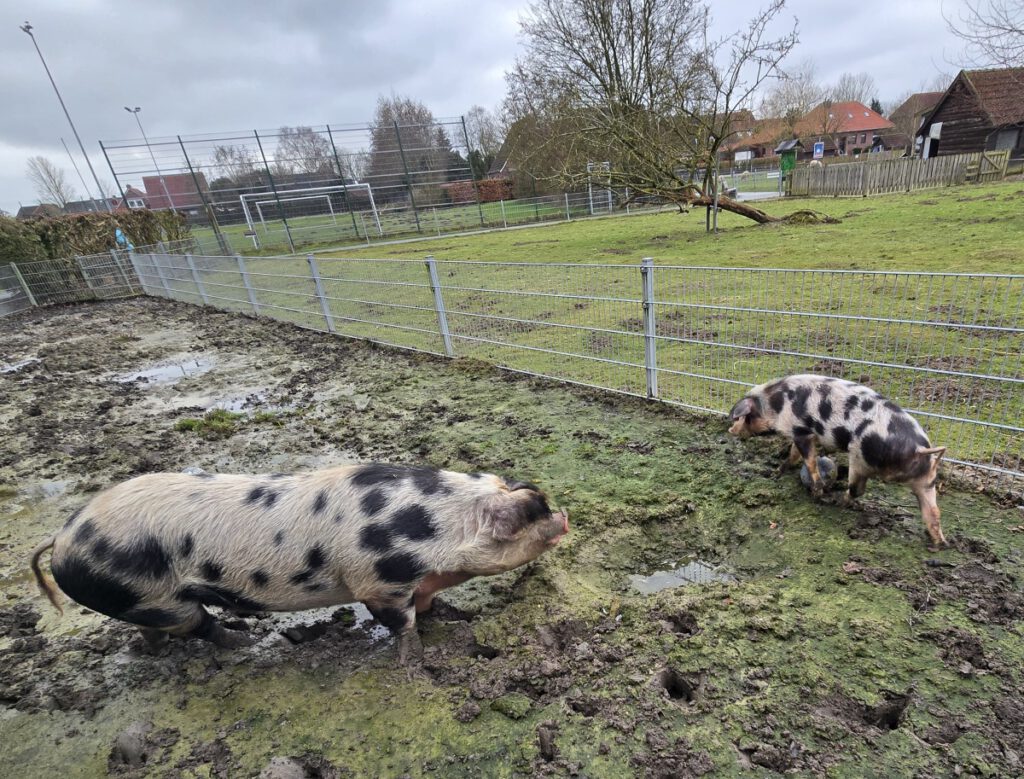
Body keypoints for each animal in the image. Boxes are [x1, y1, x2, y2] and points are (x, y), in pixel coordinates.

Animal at [29, 464, 569, 667]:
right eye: (535, 514)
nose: (565, 516)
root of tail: (63, 537)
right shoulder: (375, 582)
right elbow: (402, 622)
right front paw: (416, 659)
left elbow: (430, 604)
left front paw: (453, 618)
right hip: (155, 596)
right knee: (199, 624)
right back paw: (246, 643)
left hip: (139, 602)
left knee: (156, 631)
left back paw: (157, 653)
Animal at [724, 374, 946, 548]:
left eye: (739, 418)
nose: (730, 430)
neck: (774, 404)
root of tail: (919, 449)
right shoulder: (798, 432)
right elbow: (793, 455)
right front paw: (776, 472)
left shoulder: (801, 430)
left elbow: (809, 460)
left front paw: (817, 491)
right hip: (927, 480)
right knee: (934, 511)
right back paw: (939, 544)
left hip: (859, 460)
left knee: (857, 490)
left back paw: (838, 501)